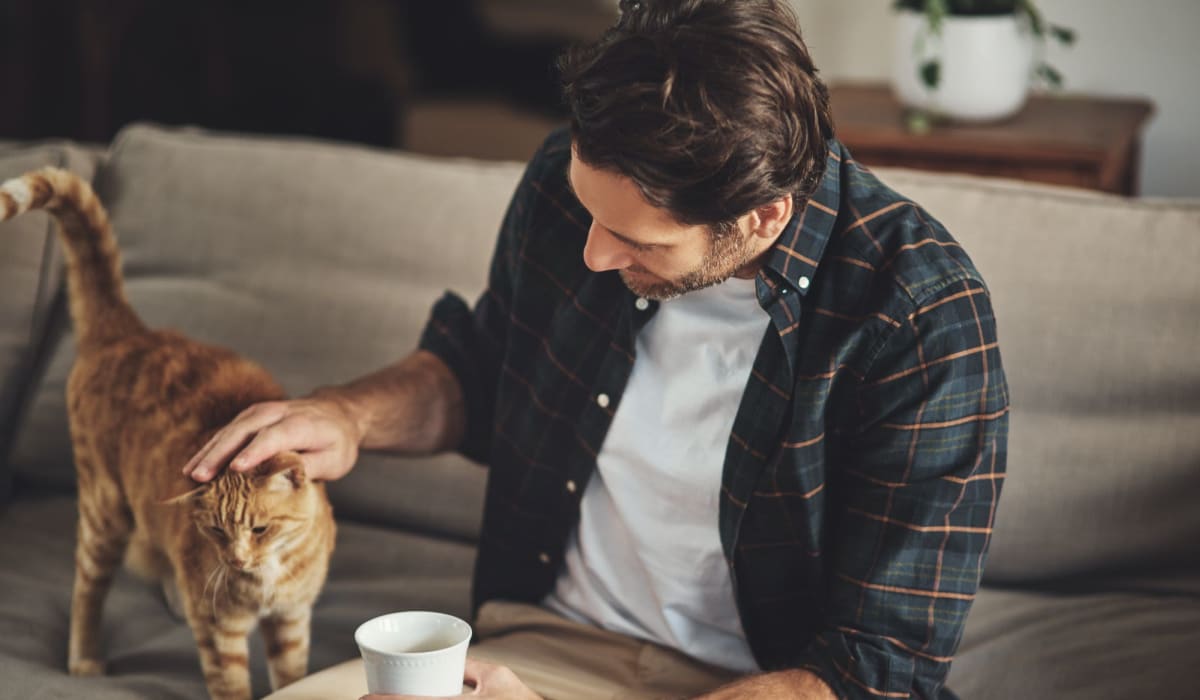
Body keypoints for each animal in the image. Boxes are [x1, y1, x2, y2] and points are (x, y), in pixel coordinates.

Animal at [2, 166, 338, 696]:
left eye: (260, 529)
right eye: (217, 532)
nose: (236, 561)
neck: (265, 580)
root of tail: (130, 332)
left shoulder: (290, 619)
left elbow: (292, 677)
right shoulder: (219, 630)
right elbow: (232, 685)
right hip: (104, 512)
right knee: (87, 590)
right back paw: (84, 658)